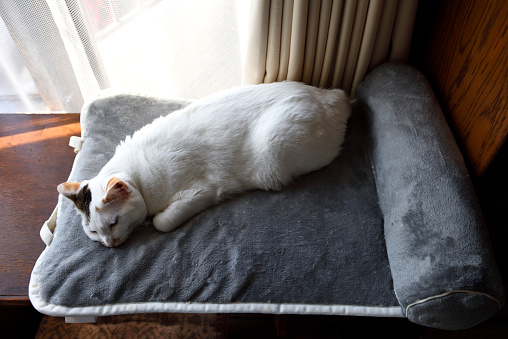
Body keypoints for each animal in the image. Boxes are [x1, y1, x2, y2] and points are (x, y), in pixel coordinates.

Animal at [55, 82, 350, 247]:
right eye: (94, 231)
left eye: (114, 223)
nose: (109, 243)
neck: (139, 176)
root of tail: (331, 96)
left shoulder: (202, 191)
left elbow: (162, 222)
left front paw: (151, 222)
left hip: (276, 152)